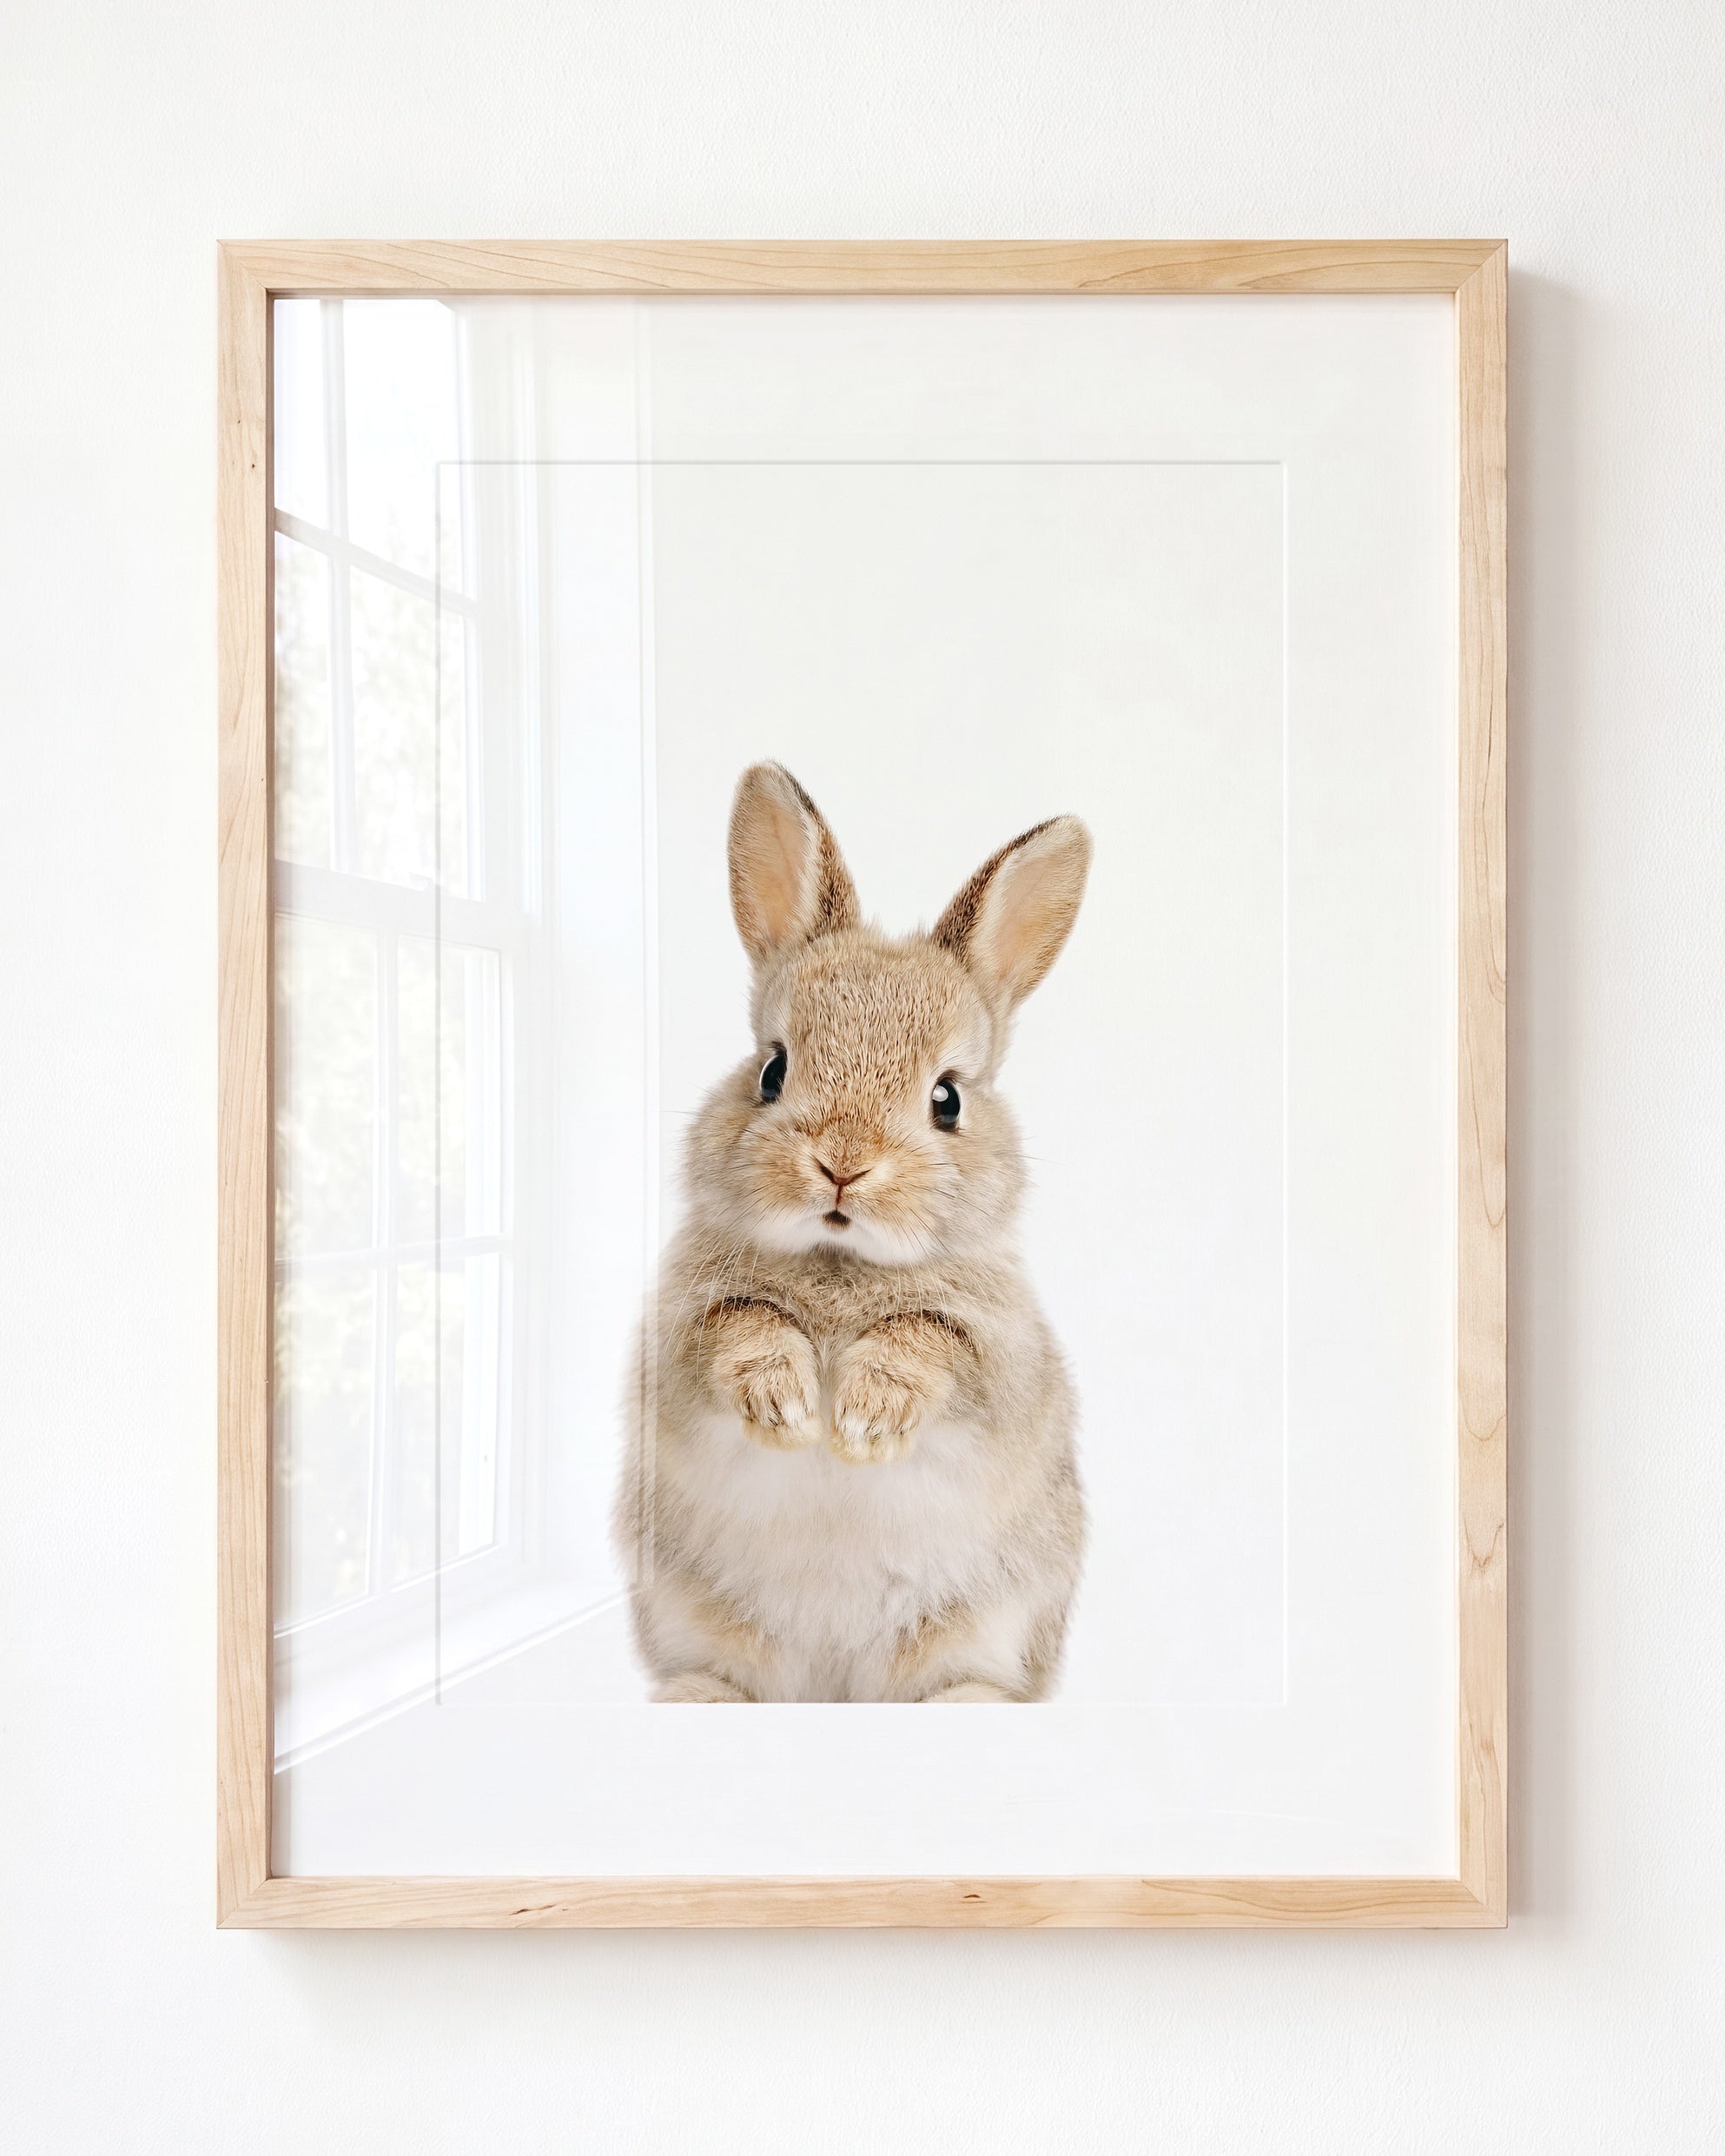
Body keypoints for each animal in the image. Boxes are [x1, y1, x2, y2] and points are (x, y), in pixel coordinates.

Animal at [615, 761, 1091, 1702]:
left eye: (947, 1099)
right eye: (772, 1069)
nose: (842, 1164)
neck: (839, 1261)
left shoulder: (1001, 1362)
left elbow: (929, 1339)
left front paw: (864, 1420)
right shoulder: (680, 1341)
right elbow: (741, 1326)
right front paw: (789, 1407)